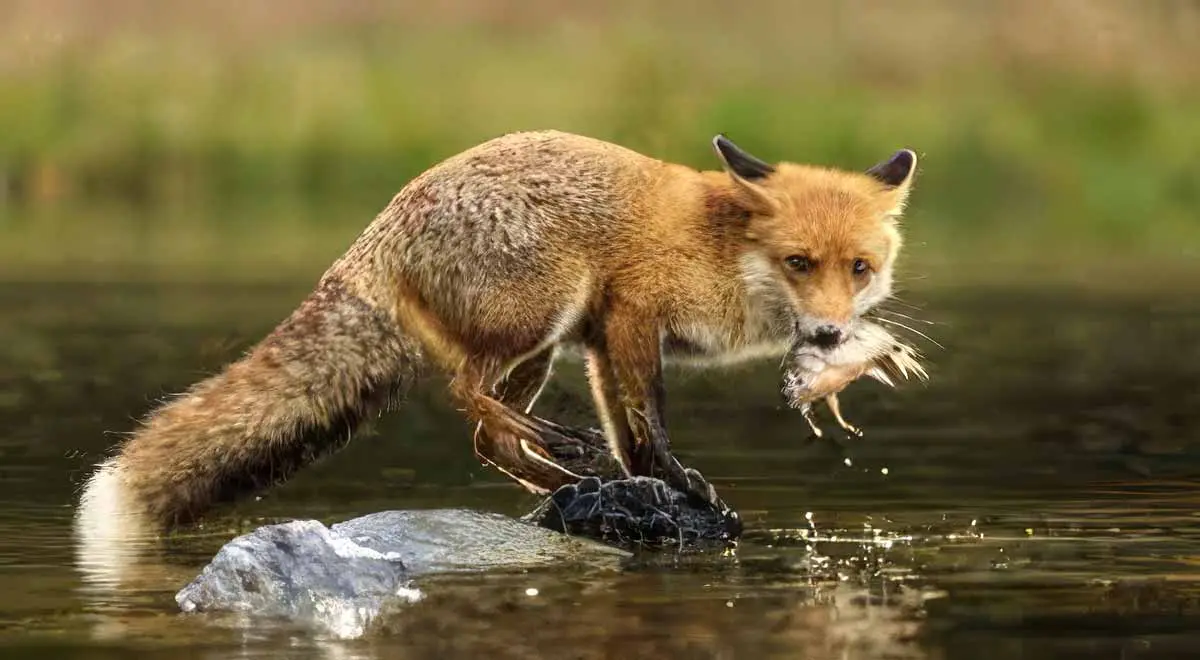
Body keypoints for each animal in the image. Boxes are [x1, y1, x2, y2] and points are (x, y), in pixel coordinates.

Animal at [77, 129, 916, 532]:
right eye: (799, 262)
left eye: (860, 269)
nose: (832, 336)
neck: (723, 250)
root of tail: (381, 225)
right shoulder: (630, 317)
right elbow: (647, 425)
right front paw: (678, 486)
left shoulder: (601, 338)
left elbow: (631, 436)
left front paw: (649, 485)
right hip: (541, 312)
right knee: (465, 393)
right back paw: (566, 450)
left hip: (542, 346)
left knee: (489, 437)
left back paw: (568, 478)